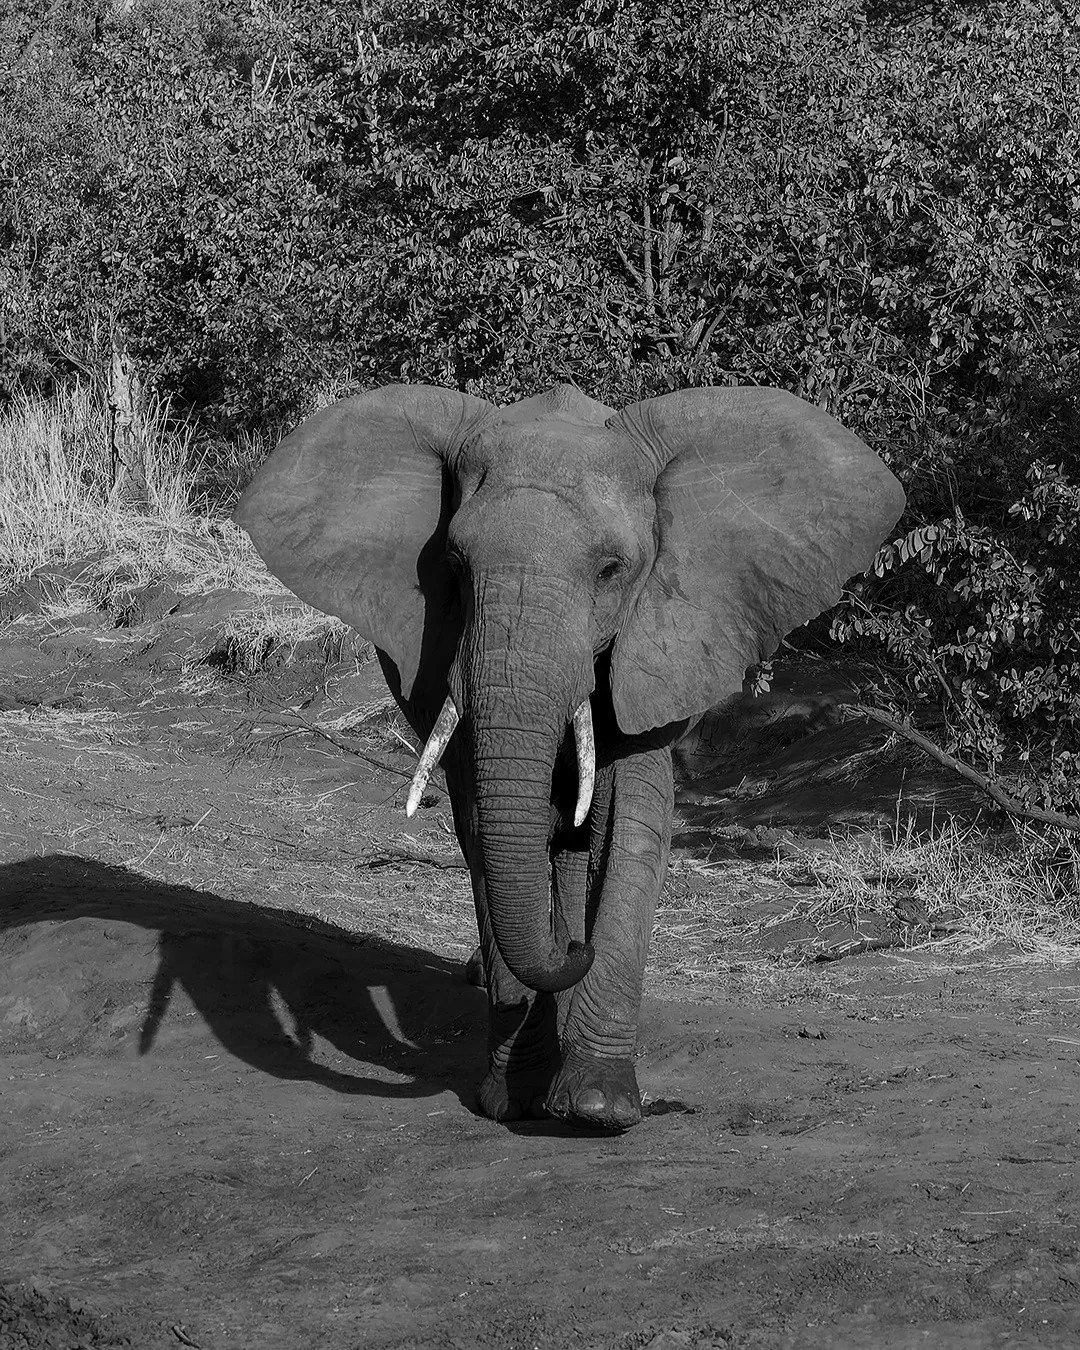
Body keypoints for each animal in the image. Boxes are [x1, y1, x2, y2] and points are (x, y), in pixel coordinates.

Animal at [233, 382, 904, 1131]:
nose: (572, 953)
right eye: (454, 568)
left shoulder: (654, 643)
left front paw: (596, 1106)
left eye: (612, 570)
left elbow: (630, 825)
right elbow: (482, 830)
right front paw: (515, 1101)